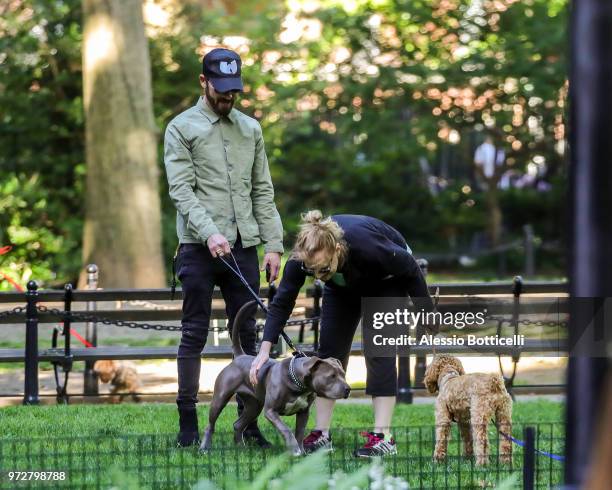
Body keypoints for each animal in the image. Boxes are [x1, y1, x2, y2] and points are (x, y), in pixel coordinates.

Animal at [202, 302, 350, 456]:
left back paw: (241, 448)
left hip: (254, 406)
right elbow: (286, 429)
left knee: (238, 424)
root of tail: (239, 356)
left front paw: (302, 453)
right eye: (331, 376)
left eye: (342, 374)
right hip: (220, 399)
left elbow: (300, 432)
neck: (298, 382)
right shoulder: (270, 411)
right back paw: (205, 448)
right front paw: (295, 449)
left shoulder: (304, 412)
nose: (348, 389)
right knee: (210, 424)